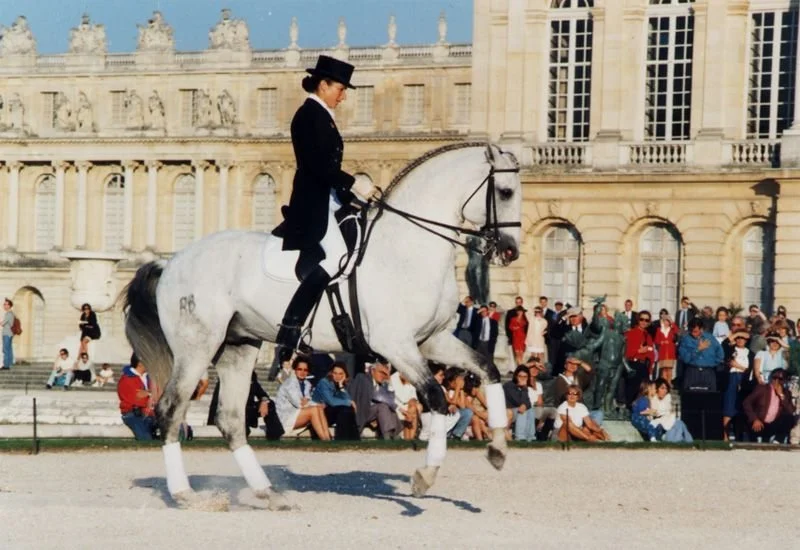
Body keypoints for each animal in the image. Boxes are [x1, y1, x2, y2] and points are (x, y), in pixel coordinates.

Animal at [122, 142, 522, 509]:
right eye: (505, 192)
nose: (511, 251)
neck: (407, 250)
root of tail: (172, 262)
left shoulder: (433, 341)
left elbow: (488, 369)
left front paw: (498, 450)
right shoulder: (396, 345)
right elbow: (437, 397)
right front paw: (426, 475)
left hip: (238, 348)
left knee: (231, 420)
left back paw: (268, 493)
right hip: (196, 349)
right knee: (170, 410)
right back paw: (186, 495)